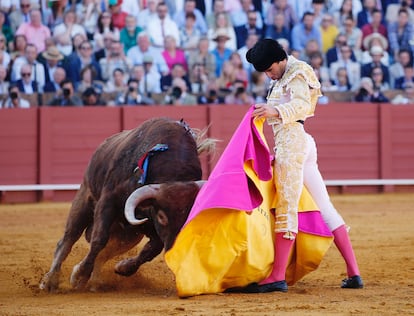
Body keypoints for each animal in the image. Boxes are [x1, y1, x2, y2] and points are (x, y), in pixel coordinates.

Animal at [39, 117, 213, 292]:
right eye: (161, 216)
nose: (175, 253)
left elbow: (151, 250)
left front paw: (122, 267)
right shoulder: (108, 201)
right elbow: (99, 239)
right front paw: (79, 275)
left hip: (128, 235)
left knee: (106, 252)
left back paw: (96, 282)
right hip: (84, 201)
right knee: (68, 240)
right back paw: (50, 281)